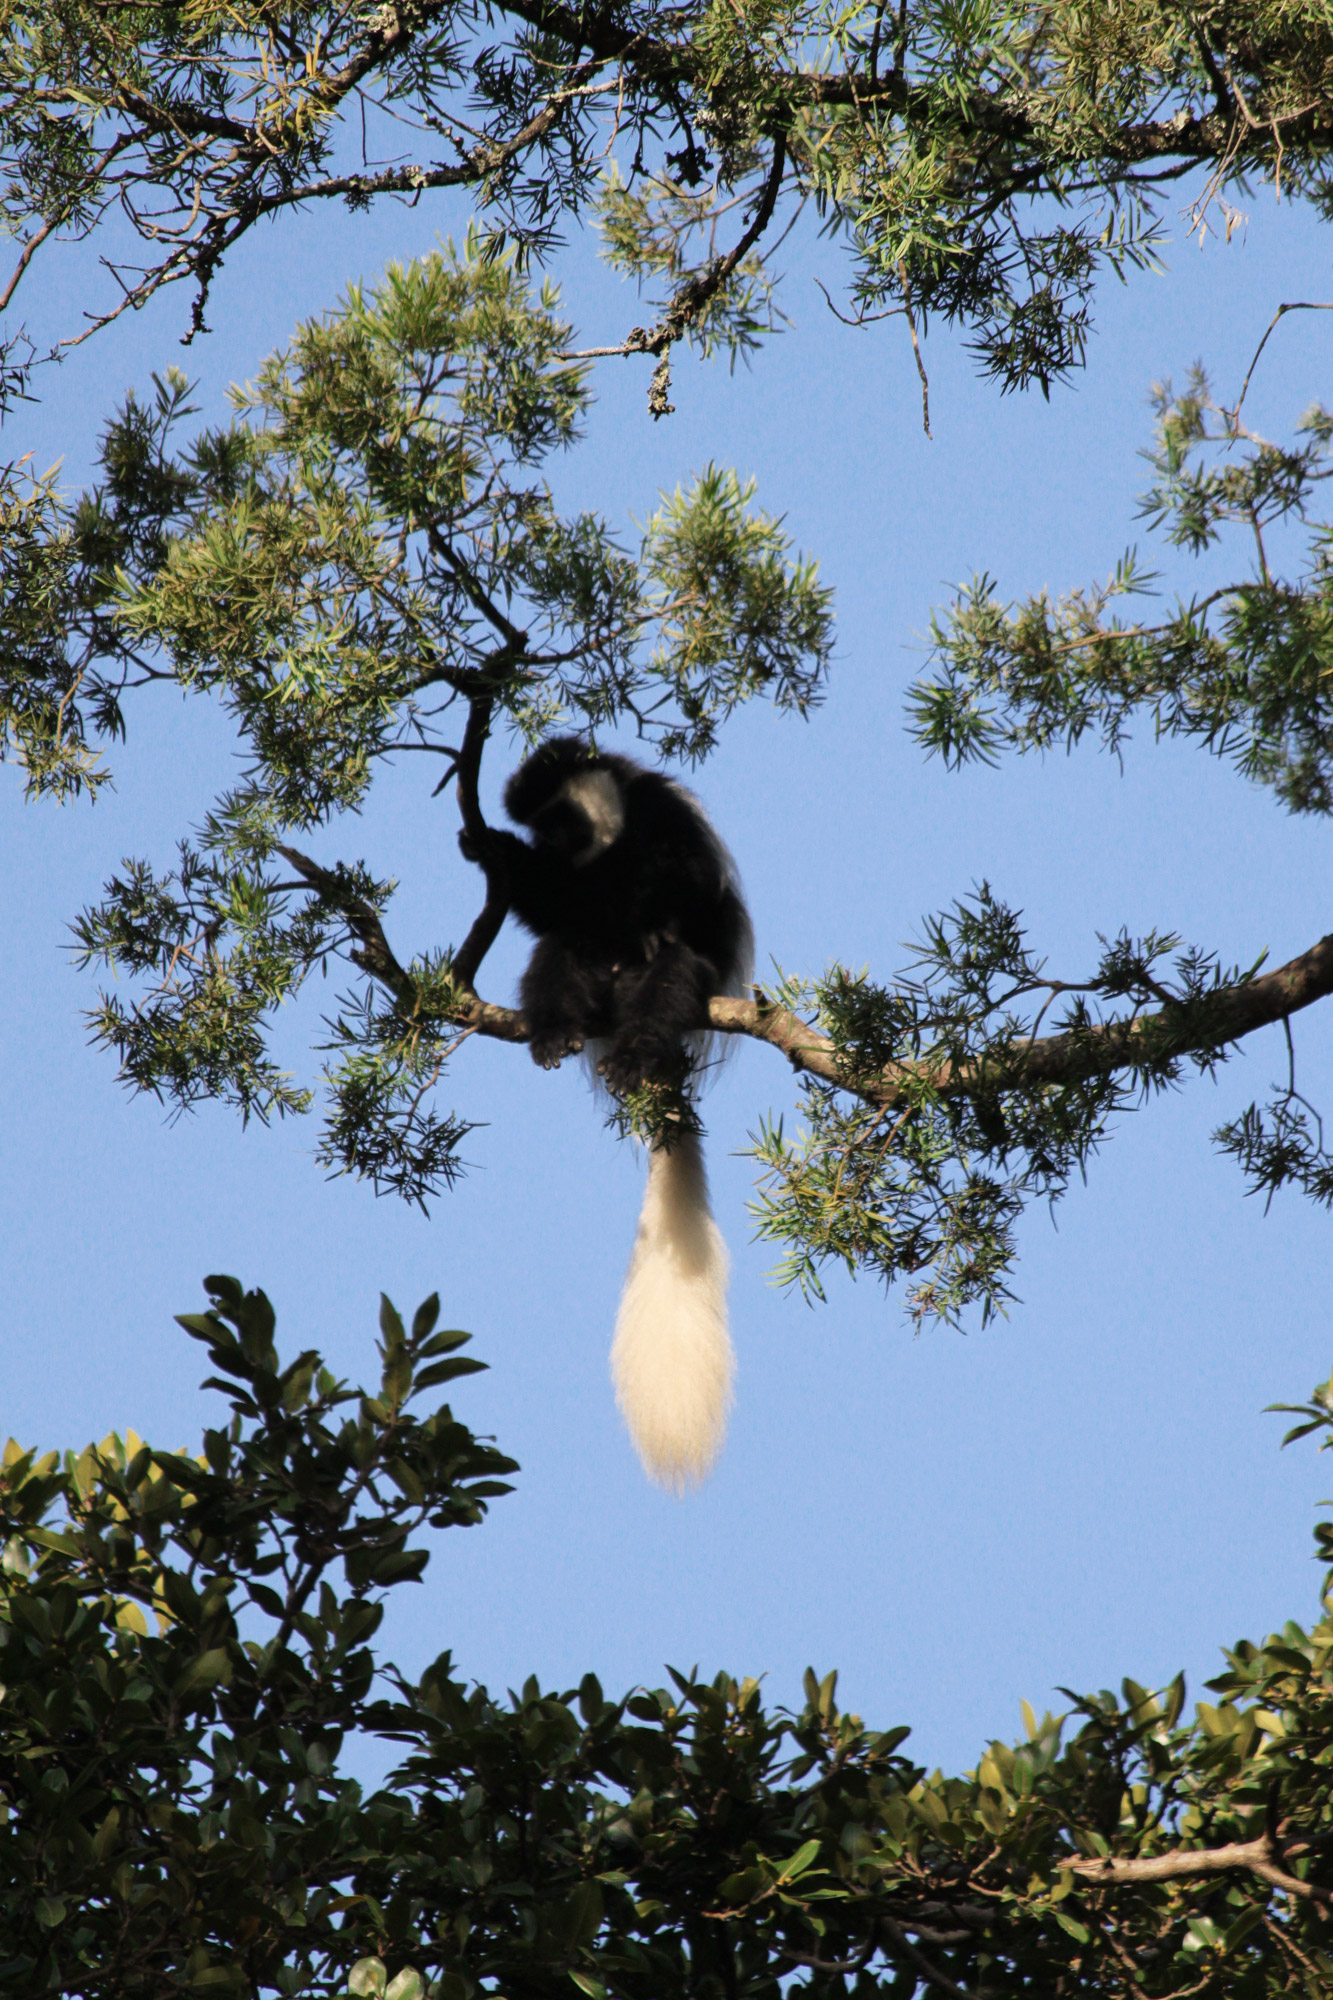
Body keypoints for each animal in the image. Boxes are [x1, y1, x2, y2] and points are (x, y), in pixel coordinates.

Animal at [464, 744, 748, 1496]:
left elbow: (683, 884)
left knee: (671, 970)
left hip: (678, 984)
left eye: (560, 816)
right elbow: (555, 914)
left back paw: (634, 1046)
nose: (553, 846)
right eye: (538, 825)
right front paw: (496, 851)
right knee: (561, 953)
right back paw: (554, 1033)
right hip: (585, 977)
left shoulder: (664, 821)